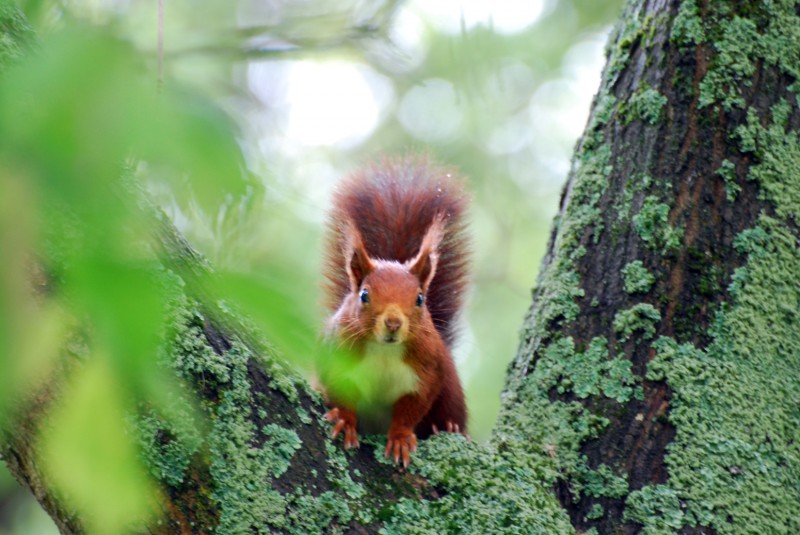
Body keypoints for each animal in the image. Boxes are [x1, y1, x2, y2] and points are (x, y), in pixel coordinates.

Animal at [318, 157, 468, 466]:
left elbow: (411, 409)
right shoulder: (338, 355)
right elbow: (340, 392)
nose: (393, 323)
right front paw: (345, 421)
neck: (384, 351)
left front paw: (399, 438)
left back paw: (447, 427)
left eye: (420, 299)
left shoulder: (426, 372)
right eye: (364, 295)